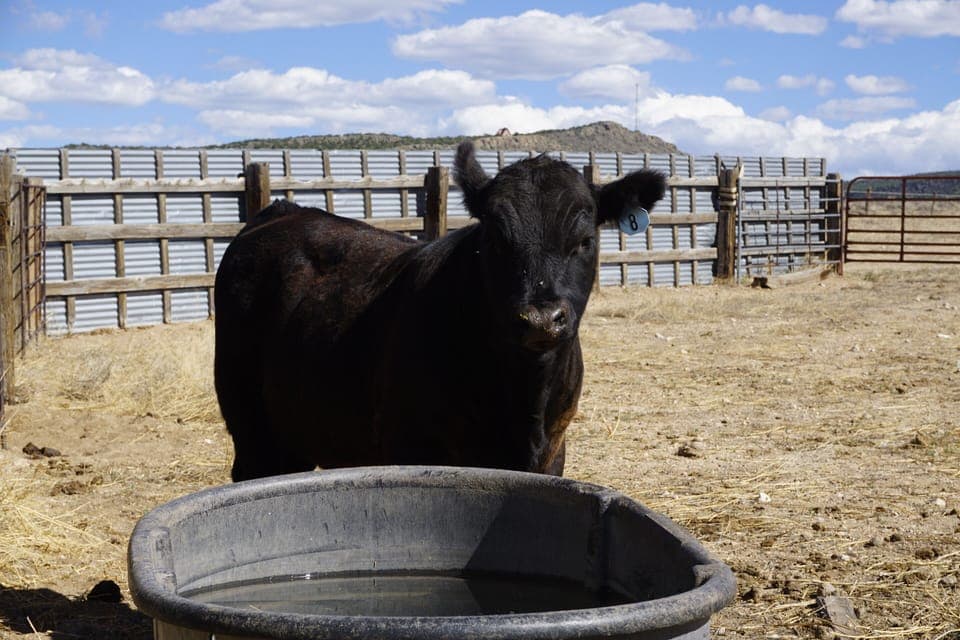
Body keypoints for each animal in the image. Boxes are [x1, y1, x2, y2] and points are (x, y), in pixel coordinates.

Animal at [214, 141, 666, 481]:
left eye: (585, 240)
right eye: (495, 238)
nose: (540, 320)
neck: (523, 400)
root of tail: (282, 211)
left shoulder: (553, 453)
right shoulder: (408, 445)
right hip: (249, 424)